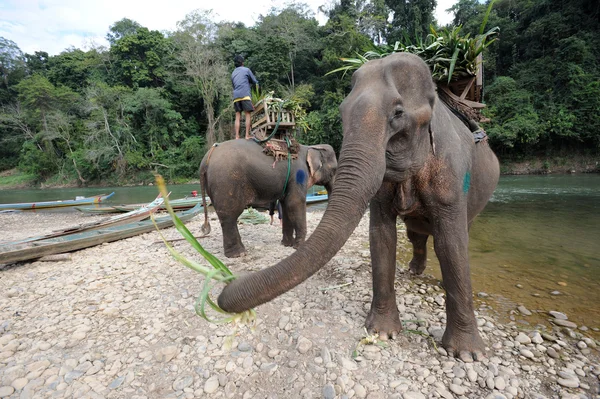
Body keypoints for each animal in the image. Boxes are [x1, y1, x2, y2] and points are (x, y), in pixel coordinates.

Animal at [200, 140, 338, 260]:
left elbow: (286, 205)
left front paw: (287, 245)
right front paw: (298, 247)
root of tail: (206, 158)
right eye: (335, 170)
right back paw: (238, 254)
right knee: (230, 216)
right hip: (226, 182)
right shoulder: (298, 175)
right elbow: (295, 203)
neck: (312, 147)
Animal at [218, 51, 500, 360]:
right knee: (415, 234)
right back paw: (414, 271)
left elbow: (452, 243)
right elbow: (381, 236)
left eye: (398, 113)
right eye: (342, 113)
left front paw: (467, 354)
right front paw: (382, 333)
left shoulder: (451, 172)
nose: (223, 291)